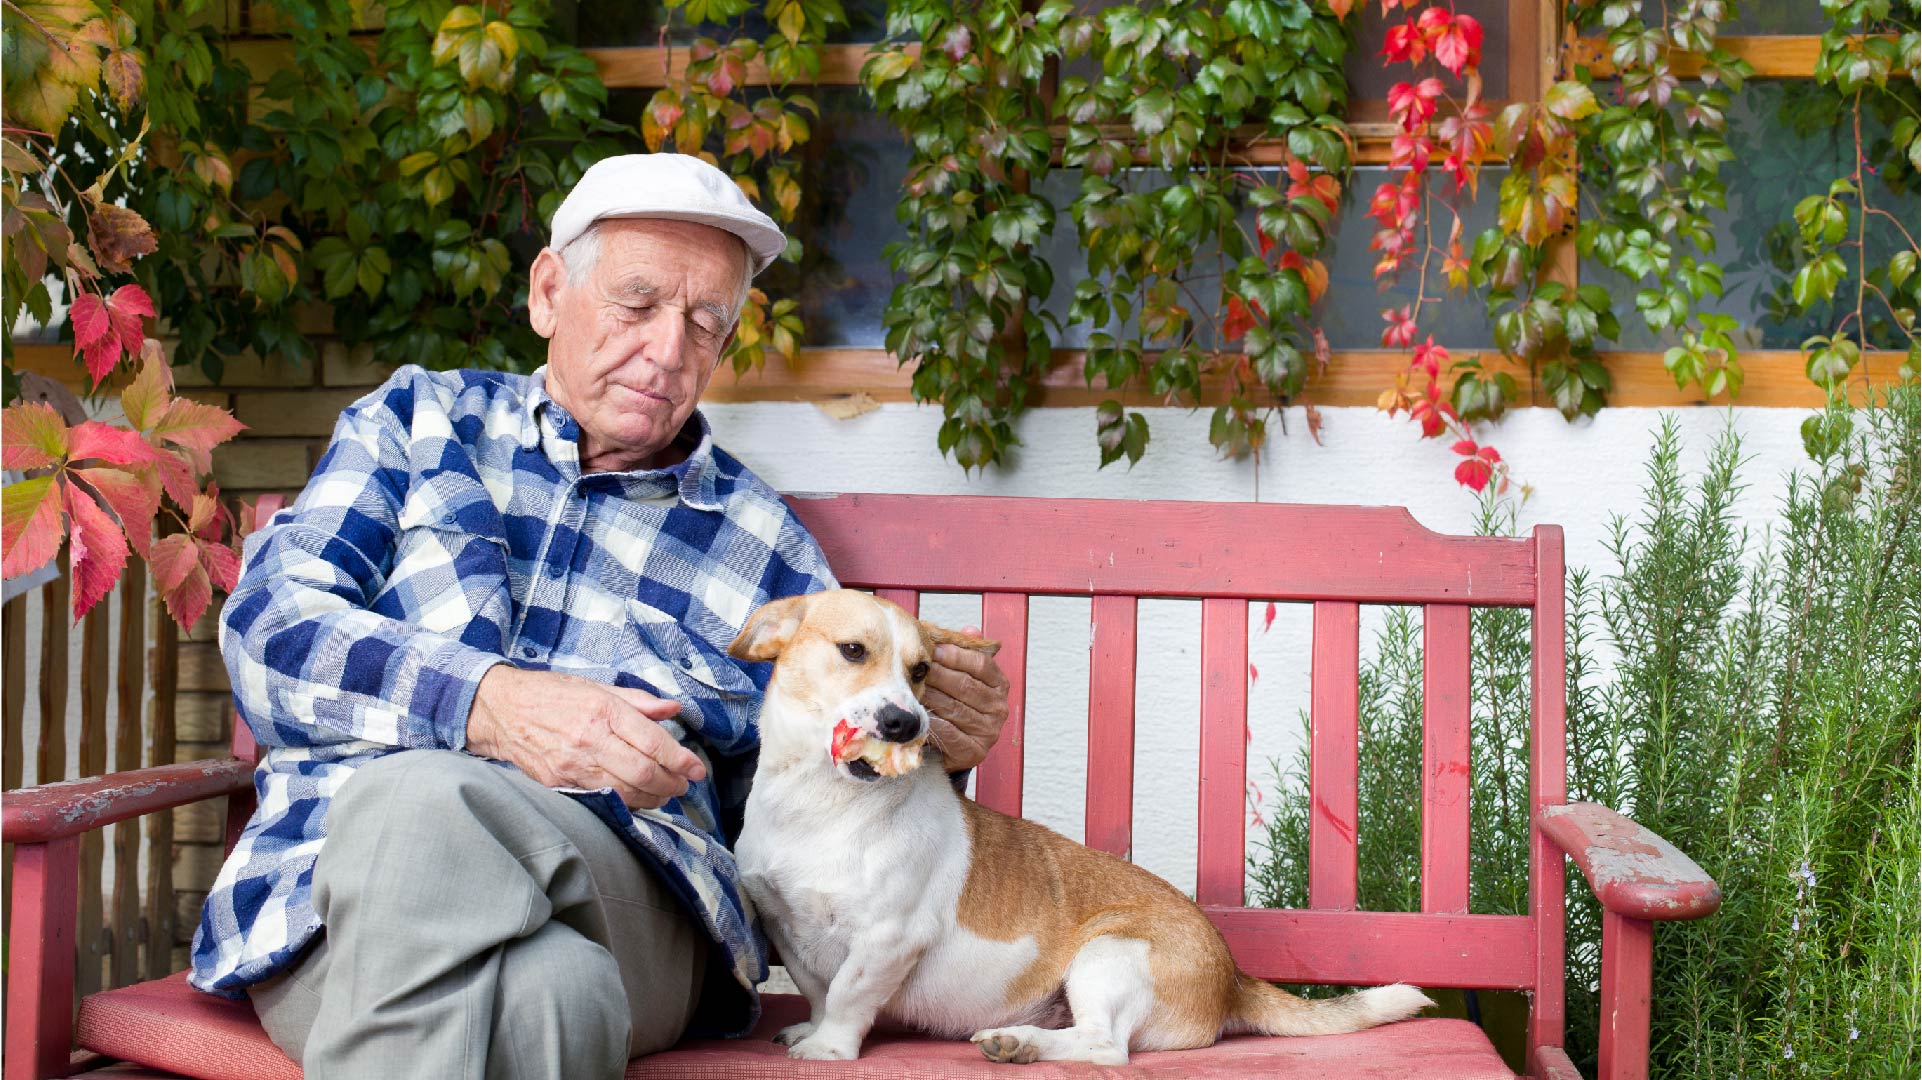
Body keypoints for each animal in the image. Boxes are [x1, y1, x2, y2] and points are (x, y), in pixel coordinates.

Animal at [726, 588, 1437, 1060]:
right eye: (853, 651)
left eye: (921, 671)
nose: (907, 723)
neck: (821, 804)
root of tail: (1234, 980)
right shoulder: (786, 930)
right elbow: (820, 990)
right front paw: (811, 1030)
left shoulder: (886, 940)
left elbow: (847, 997)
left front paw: (828, 1051)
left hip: (1105, 957)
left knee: (1103, 1048)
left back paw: (1019, 1043)